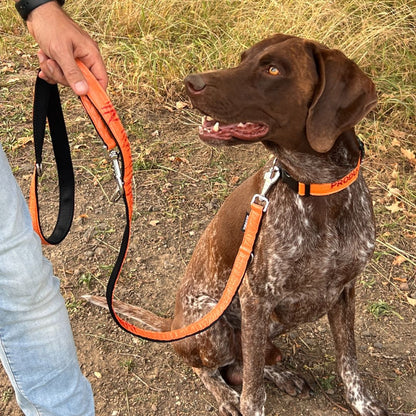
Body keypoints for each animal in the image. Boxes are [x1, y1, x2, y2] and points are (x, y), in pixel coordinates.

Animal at [86, 34, 388, 414]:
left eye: (272, 70)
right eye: (243, 59)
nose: (191, 82)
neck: (317, 189)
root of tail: (173, 323)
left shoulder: (345, 289)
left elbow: (347, 359)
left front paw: (362, 403)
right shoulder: (255, 297)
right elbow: (254, 392)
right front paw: (247, 403)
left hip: (273, 321)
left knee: (247, 360)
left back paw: (281, 374)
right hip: (213, 323)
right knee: (212, 368)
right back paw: (228, 396)